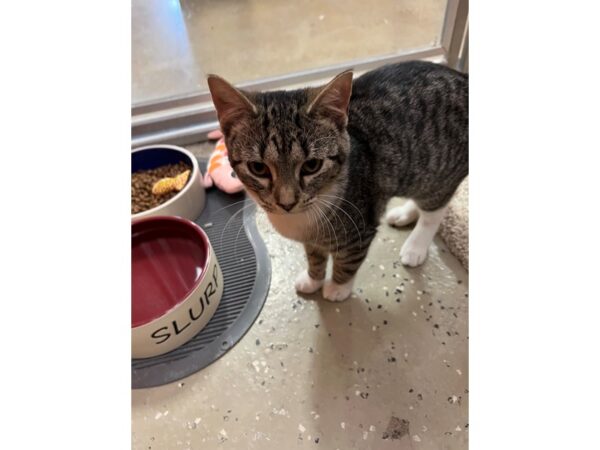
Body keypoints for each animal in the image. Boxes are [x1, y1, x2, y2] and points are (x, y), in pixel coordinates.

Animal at [209, 59, 466, 298]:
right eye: (258, 168)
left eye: (312, 165)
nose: (287, 202)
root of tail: (463, 77)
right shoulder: (312, 241)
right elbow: (314, 256)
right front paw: (313, 279)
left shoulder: (360, 228)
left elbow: (348, 260)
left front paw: (338, 287)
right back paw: (405, 213)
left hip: (440, 171)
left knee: (435, 210)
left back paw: (416, 246)